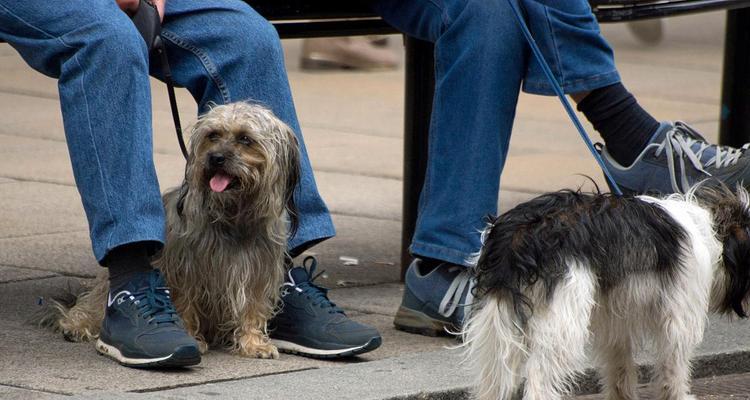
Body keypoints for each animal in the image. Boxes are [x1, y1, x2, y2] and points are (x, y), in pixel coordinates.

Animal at [464, 184, 750, 400]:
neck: (708, 232)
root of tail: (522, 233)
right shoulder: (679, 316)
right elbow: (673, 365)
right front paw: (678, 396)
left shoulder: (616, 318)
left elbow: (619, 361)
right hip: (563, 321)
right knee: (538, 382)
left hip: (496, 321)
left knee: (493, 378)